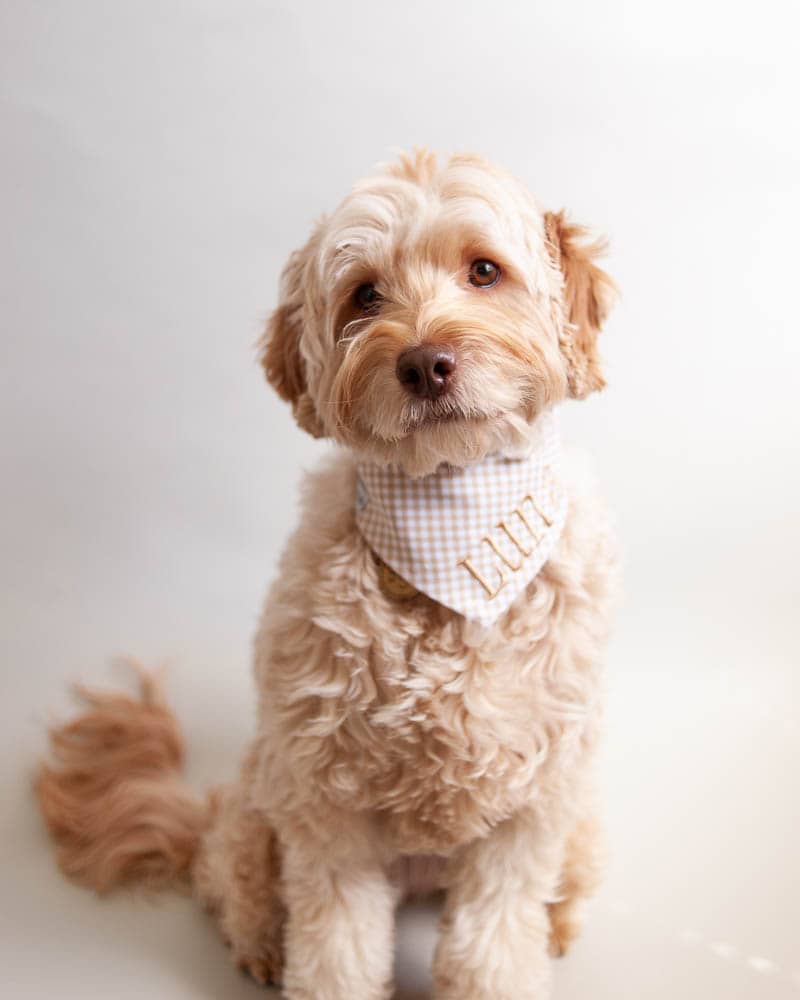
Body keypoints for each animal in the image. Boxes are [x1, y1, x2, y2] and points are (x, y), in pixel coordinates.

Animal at [37, 148, 620, 1000]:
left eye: (485, 270)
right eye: (365, 294)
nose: (424, 363)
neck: (447, 516)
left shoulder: (531, 806)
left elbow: (493, 942)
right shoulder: (326, 804)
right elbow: (338, 946)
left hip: (576, 820)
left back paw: (561, 926)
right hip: (259, 802)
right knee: (231, 885)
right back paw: (259, 949)